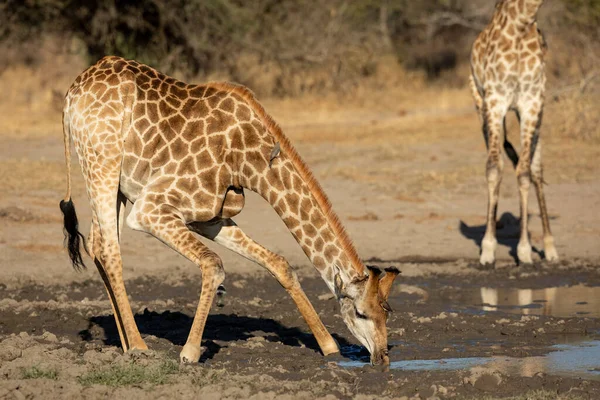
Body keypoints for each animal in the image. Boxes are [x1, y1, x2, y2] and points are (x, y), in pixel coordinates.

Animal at [59, 55, 398, 366]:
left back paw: (126, 343)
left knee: (97, 245)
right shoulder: (150, 208)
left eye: (387, 312)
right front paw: (190, 353)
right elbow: (214, 264)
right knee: (109, 249)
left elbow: (279, 264)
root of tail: (71, 94)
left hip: (114, 181)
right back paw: (140, 346)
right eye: (361, 313)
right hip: (102, 161)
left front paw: (329, 346)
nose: (382, 357)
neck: (249, 160)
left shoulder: (211, 218)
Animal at [468, 0, 556, 268]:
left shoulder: (531, 102)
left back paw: (550, 247)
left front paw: (525, 251)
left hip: (536, 115)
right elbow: (494, 169)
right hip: (481, 107)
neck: (521, 24)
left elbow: (525, 173)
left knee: (536, 170)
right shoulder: (495, 101)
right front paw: (487, 249)